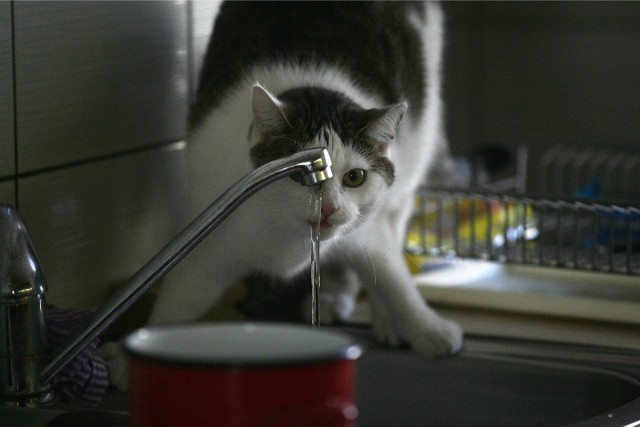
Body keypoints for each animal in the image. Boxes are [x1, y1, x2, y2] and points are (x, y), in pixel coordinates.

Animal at [106, 2, 464, 384]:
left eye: (354, 177)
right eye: (299, 177)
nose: (329, 208)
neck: (287, 237)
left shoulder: (368, 229)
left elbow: (390, 275)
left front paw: (426, 328)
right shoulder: (211, 242)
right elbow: (178, 299)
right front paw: (131, 359)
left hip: (411, 157)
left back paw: (385, 321)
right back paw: (333, 299)